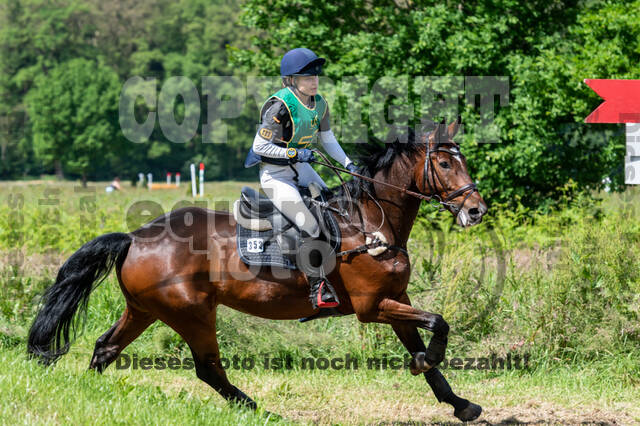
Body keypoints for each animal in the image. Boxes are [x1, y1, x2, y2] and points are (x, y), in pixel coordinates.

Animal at [27, 119, 488, 422]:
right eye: (445, 165)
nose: (477, 210)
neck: (369, 221)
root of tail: (135, 237)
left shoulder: (396, 298)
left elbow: (422, 343)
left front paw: (459, 402)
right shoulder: (371, 306)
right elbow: (438, 324)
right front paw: (429, 363)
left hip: (146, 310)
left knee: (106, 348)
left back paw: (92, 393)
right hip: (191, 313)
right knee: (208, 368)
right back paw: (260, 410)